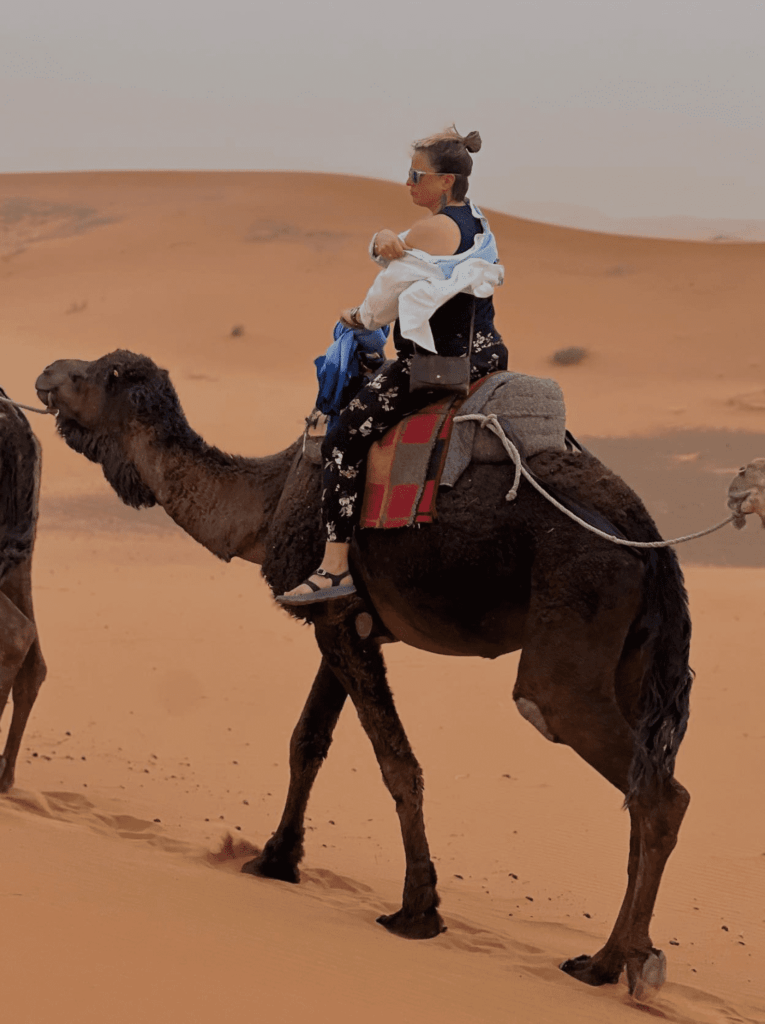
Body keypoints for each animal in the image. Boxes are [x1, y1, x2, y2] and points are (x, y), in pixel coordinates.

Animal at [36, 350, 694, 999]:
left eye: (95, 374)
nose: (45, 373)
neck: (269, 502)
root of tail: (645, 532)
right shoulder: (344, 623)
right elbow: (307, 741)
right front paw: (275, 859)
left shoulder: (336, 620)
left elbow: (396, 764)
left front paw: (417, 910)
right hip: (634, 659)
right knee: (642, 785)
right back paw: (613, 960)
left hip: (573, 625)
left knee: (637, 776)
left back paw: (617, 965)